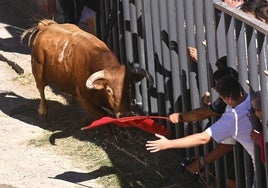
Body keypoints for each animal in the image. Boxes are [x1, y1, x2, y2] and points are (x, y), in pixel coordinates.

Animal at [21, 19, 153, 119]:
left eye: (128, 87)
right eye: (109, 90)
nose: (125, 114)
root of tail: (45, 26)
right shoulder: (85, 99)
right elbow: (103, 115)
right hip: (38, 71)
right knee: (41, 89)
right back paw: (43, 111)